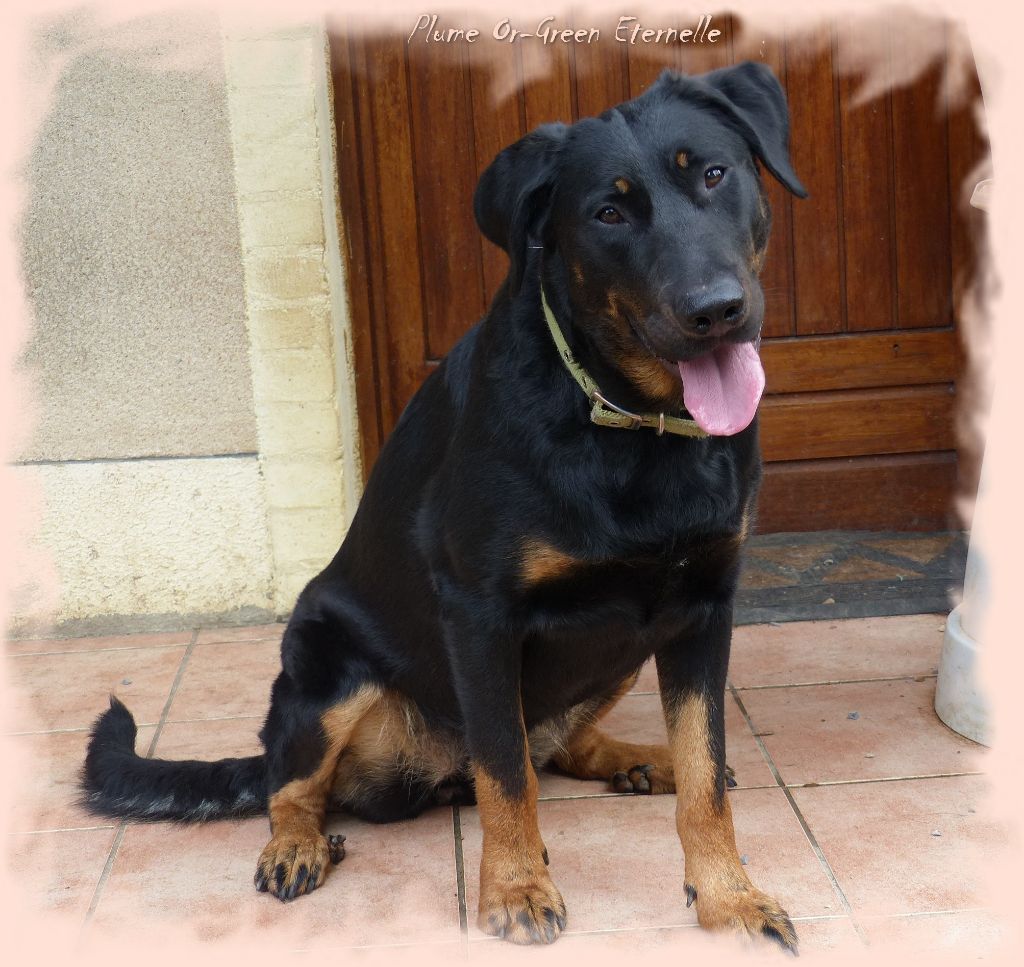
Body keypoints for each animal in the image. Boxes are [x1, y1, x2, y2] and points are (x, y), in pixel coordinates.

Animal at [82, 61, 807, 951]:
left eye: (712, 173)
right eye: (607, 212)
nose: (715, 310)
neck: (627, 421)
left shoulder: (703, 604)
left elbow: (705, 773)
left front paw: (728, 895)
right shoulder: (481, 613)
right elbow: (505, 774)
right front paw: (518, 886)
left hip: (625, 648)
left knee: (565, 745)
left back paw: (641, 755)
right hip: (325, 669)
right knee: (296, 785)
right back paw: (297, 845)